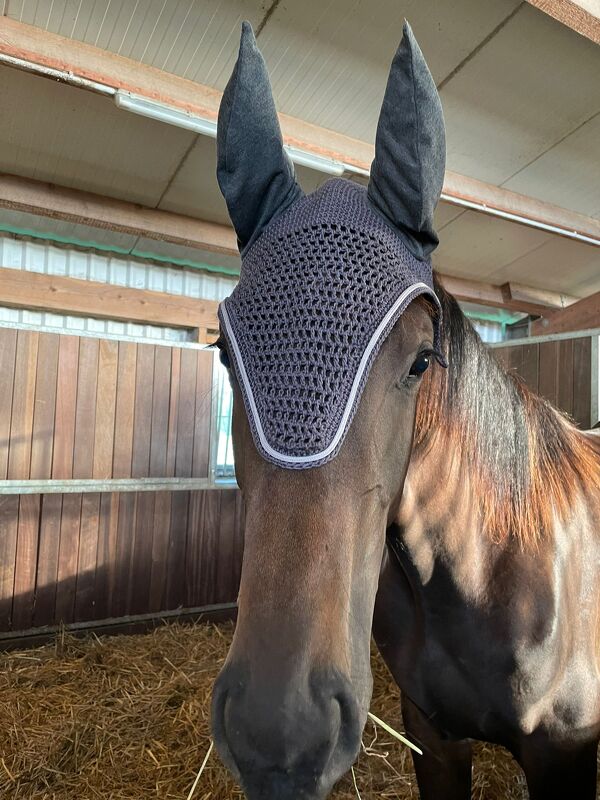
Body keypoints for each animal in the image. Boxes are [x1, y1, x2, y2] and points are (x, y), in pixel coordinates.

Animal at [210, 21, 600, 800]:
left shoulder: (566, 756)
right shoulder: (433, 738)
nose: (279, 731)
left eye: (421, 360)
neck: (487, 576)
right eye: (225, 353)